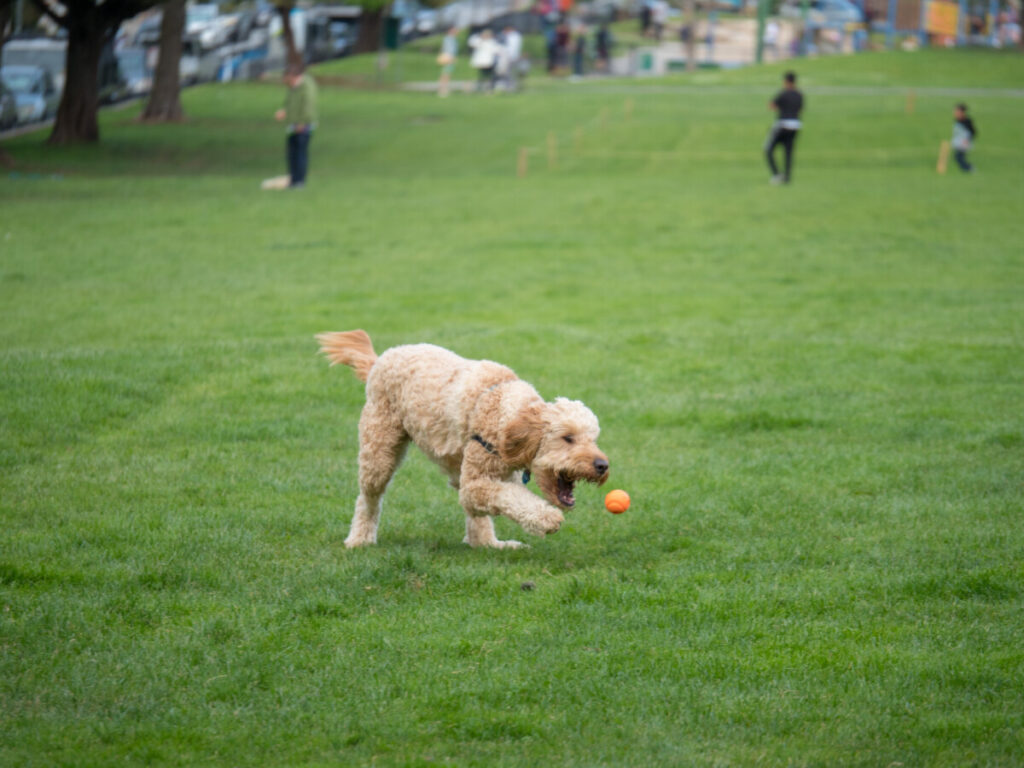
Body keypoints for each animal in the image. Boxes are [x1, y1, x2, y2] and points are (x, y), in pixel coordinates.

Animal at [317, 329, 606, 548]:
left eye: (593, 439)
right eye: (568, 438)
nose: (603, 466)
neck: (500, 408)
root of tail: (380, 360)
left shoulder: (496, 473)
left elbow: (504, 499)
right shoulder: (479, 479)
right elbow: (510, 498)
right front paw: (547, 518)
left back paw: (488, 544)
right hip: (379, 449)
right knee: (368, 498)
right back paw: (359, 539)